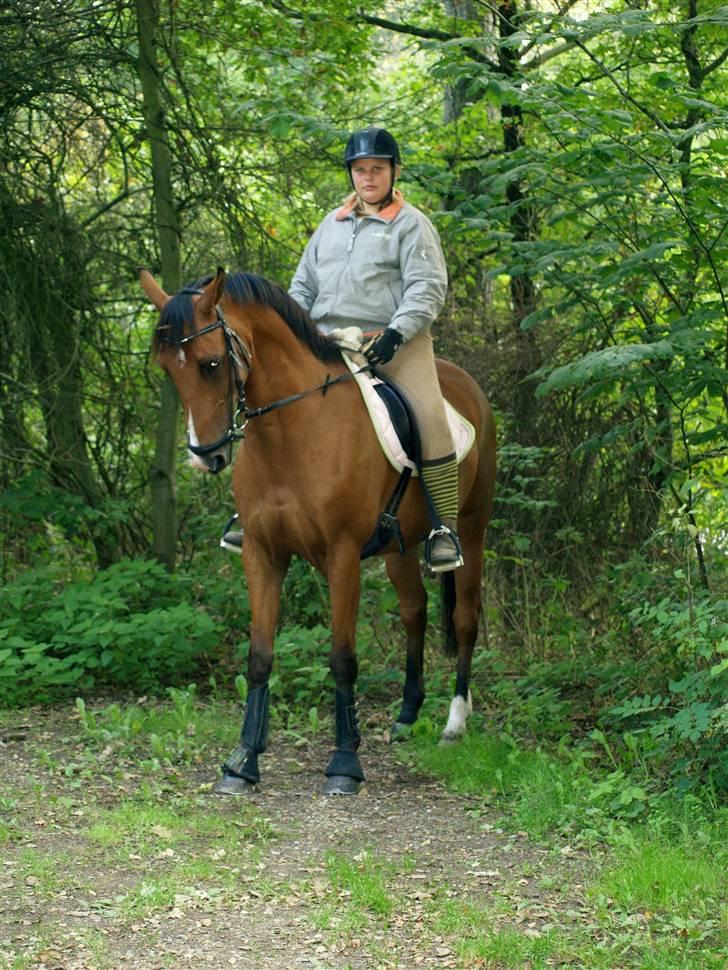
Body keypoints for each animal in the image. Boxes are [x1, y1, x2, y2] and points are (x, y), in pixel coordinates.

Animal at [140, 266, 498, 796]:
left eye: (210, 364)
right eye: (169, 369)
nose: (207, 456)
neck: (294, 431)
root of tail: (465, 384)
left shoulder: (342, 556)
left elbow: (342, 657)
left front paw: (345, 764)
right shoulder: (262, 554)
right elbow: (260, 655)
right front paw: (242, 762)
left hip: (473, 529)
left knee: (465, 618)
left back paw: (454, 724)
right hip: (397, 546)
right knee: (414, 611)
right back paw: (407, 716)